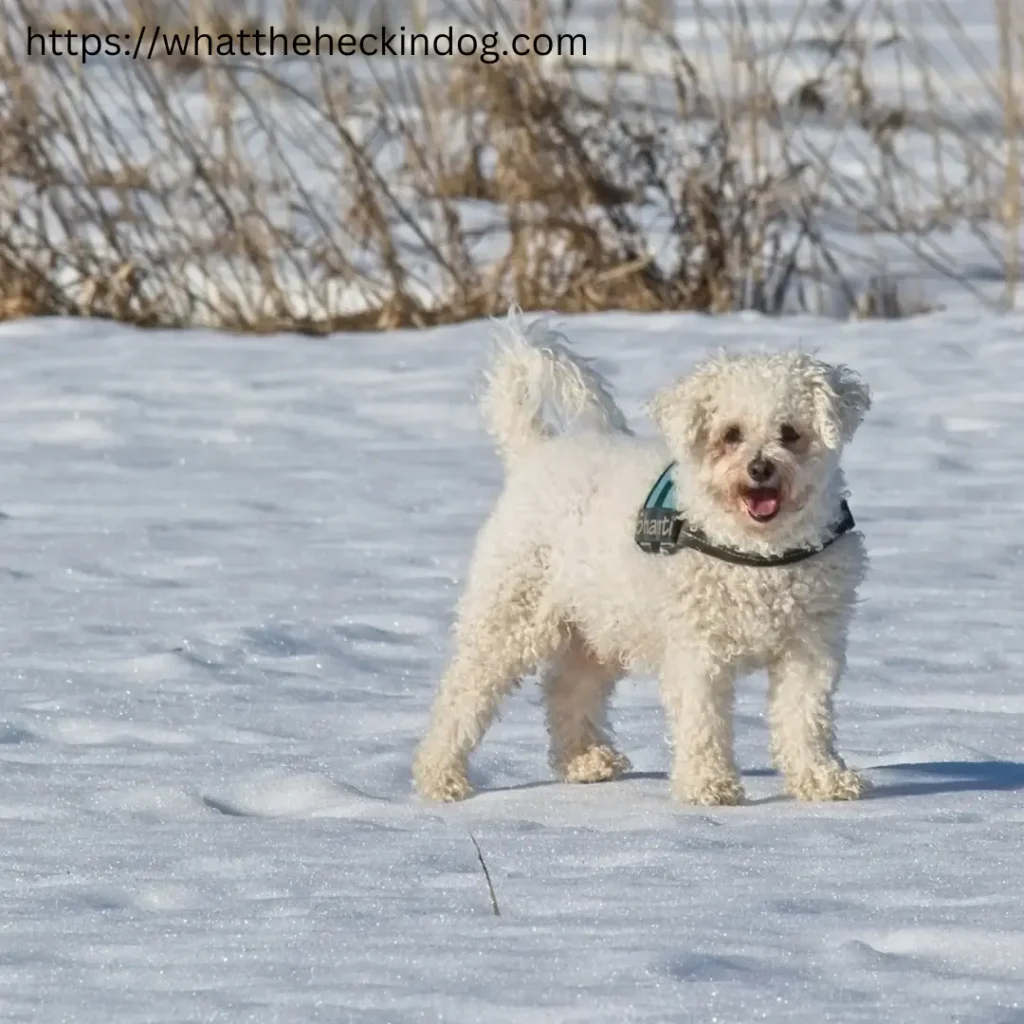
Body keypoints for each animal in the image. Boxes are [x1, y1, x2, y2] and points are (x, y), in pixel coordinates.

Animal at [415, 315, 872, 802]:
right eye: (730, 434)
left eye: (790, 432)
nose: (760, 468)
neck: (757, 553)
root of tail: (535, 452)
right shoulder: (697, 650)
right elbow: (703, 721)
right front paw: (708, 785)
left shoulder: (810, 647)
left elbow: (805, 719)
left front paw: (822, 779)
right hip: (509, 616)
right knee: (463, 694)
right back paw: (440, 775)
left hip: (596, 626)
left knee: (567, 690)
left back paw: (585, 761)